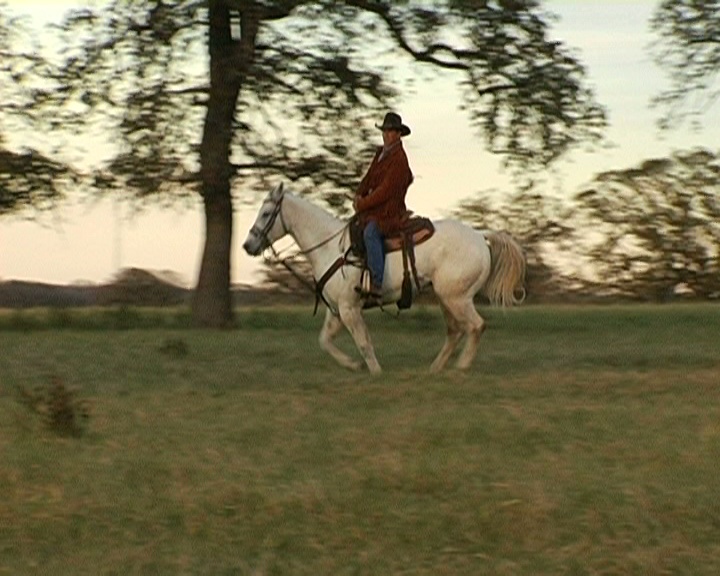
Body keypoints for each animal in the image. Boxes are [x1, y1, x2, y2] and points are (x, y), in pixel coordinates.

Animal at [242, 182, 524, 376]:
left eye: (266, 213)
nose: (247, 245)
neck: (331, 247)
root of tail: (480, 236)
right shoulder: (337, 310)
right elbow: (325, 341)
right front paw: (353, 365)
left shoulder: (349, 309)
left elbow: (364, 342)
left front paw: (376, 372)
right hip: (447, 298)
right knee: (455, 332)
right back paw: (435, 369)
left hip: (457, 298)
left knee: (476, 326)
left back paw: (461, 368)